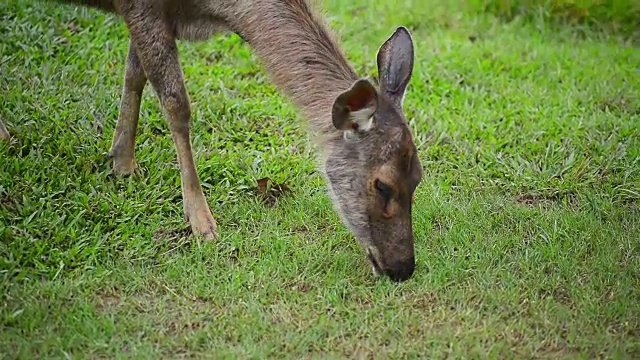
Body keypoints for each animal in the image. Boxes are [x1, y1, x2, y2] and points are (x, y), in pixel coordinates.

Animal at [5, 0, 428, 282]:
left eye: (419, 178)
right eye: (383, 185)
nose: (403, 268)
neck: (217, 9)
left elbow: (134, 73)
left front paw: (121, 161)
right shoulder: (141, 7)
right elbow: (176, 103)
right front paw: (202, 223)